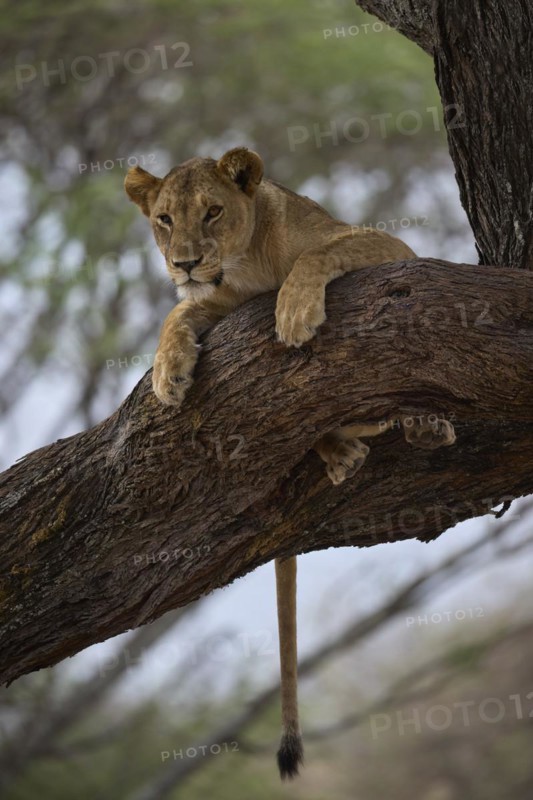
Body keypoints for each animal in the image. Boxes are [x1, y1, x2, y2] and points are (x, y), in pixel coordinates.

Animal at [125, 147, 456, 779]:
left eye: (212, 212)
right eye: (164, 219)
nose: (184, 265)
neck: (247, 263)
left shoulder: (388, 249)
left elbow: (318, 254)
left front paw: (296, 311)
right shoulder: (216, 302)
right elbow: (175, 317)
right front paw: (167, 373)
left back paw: (422, 424)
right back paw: (341, 449)